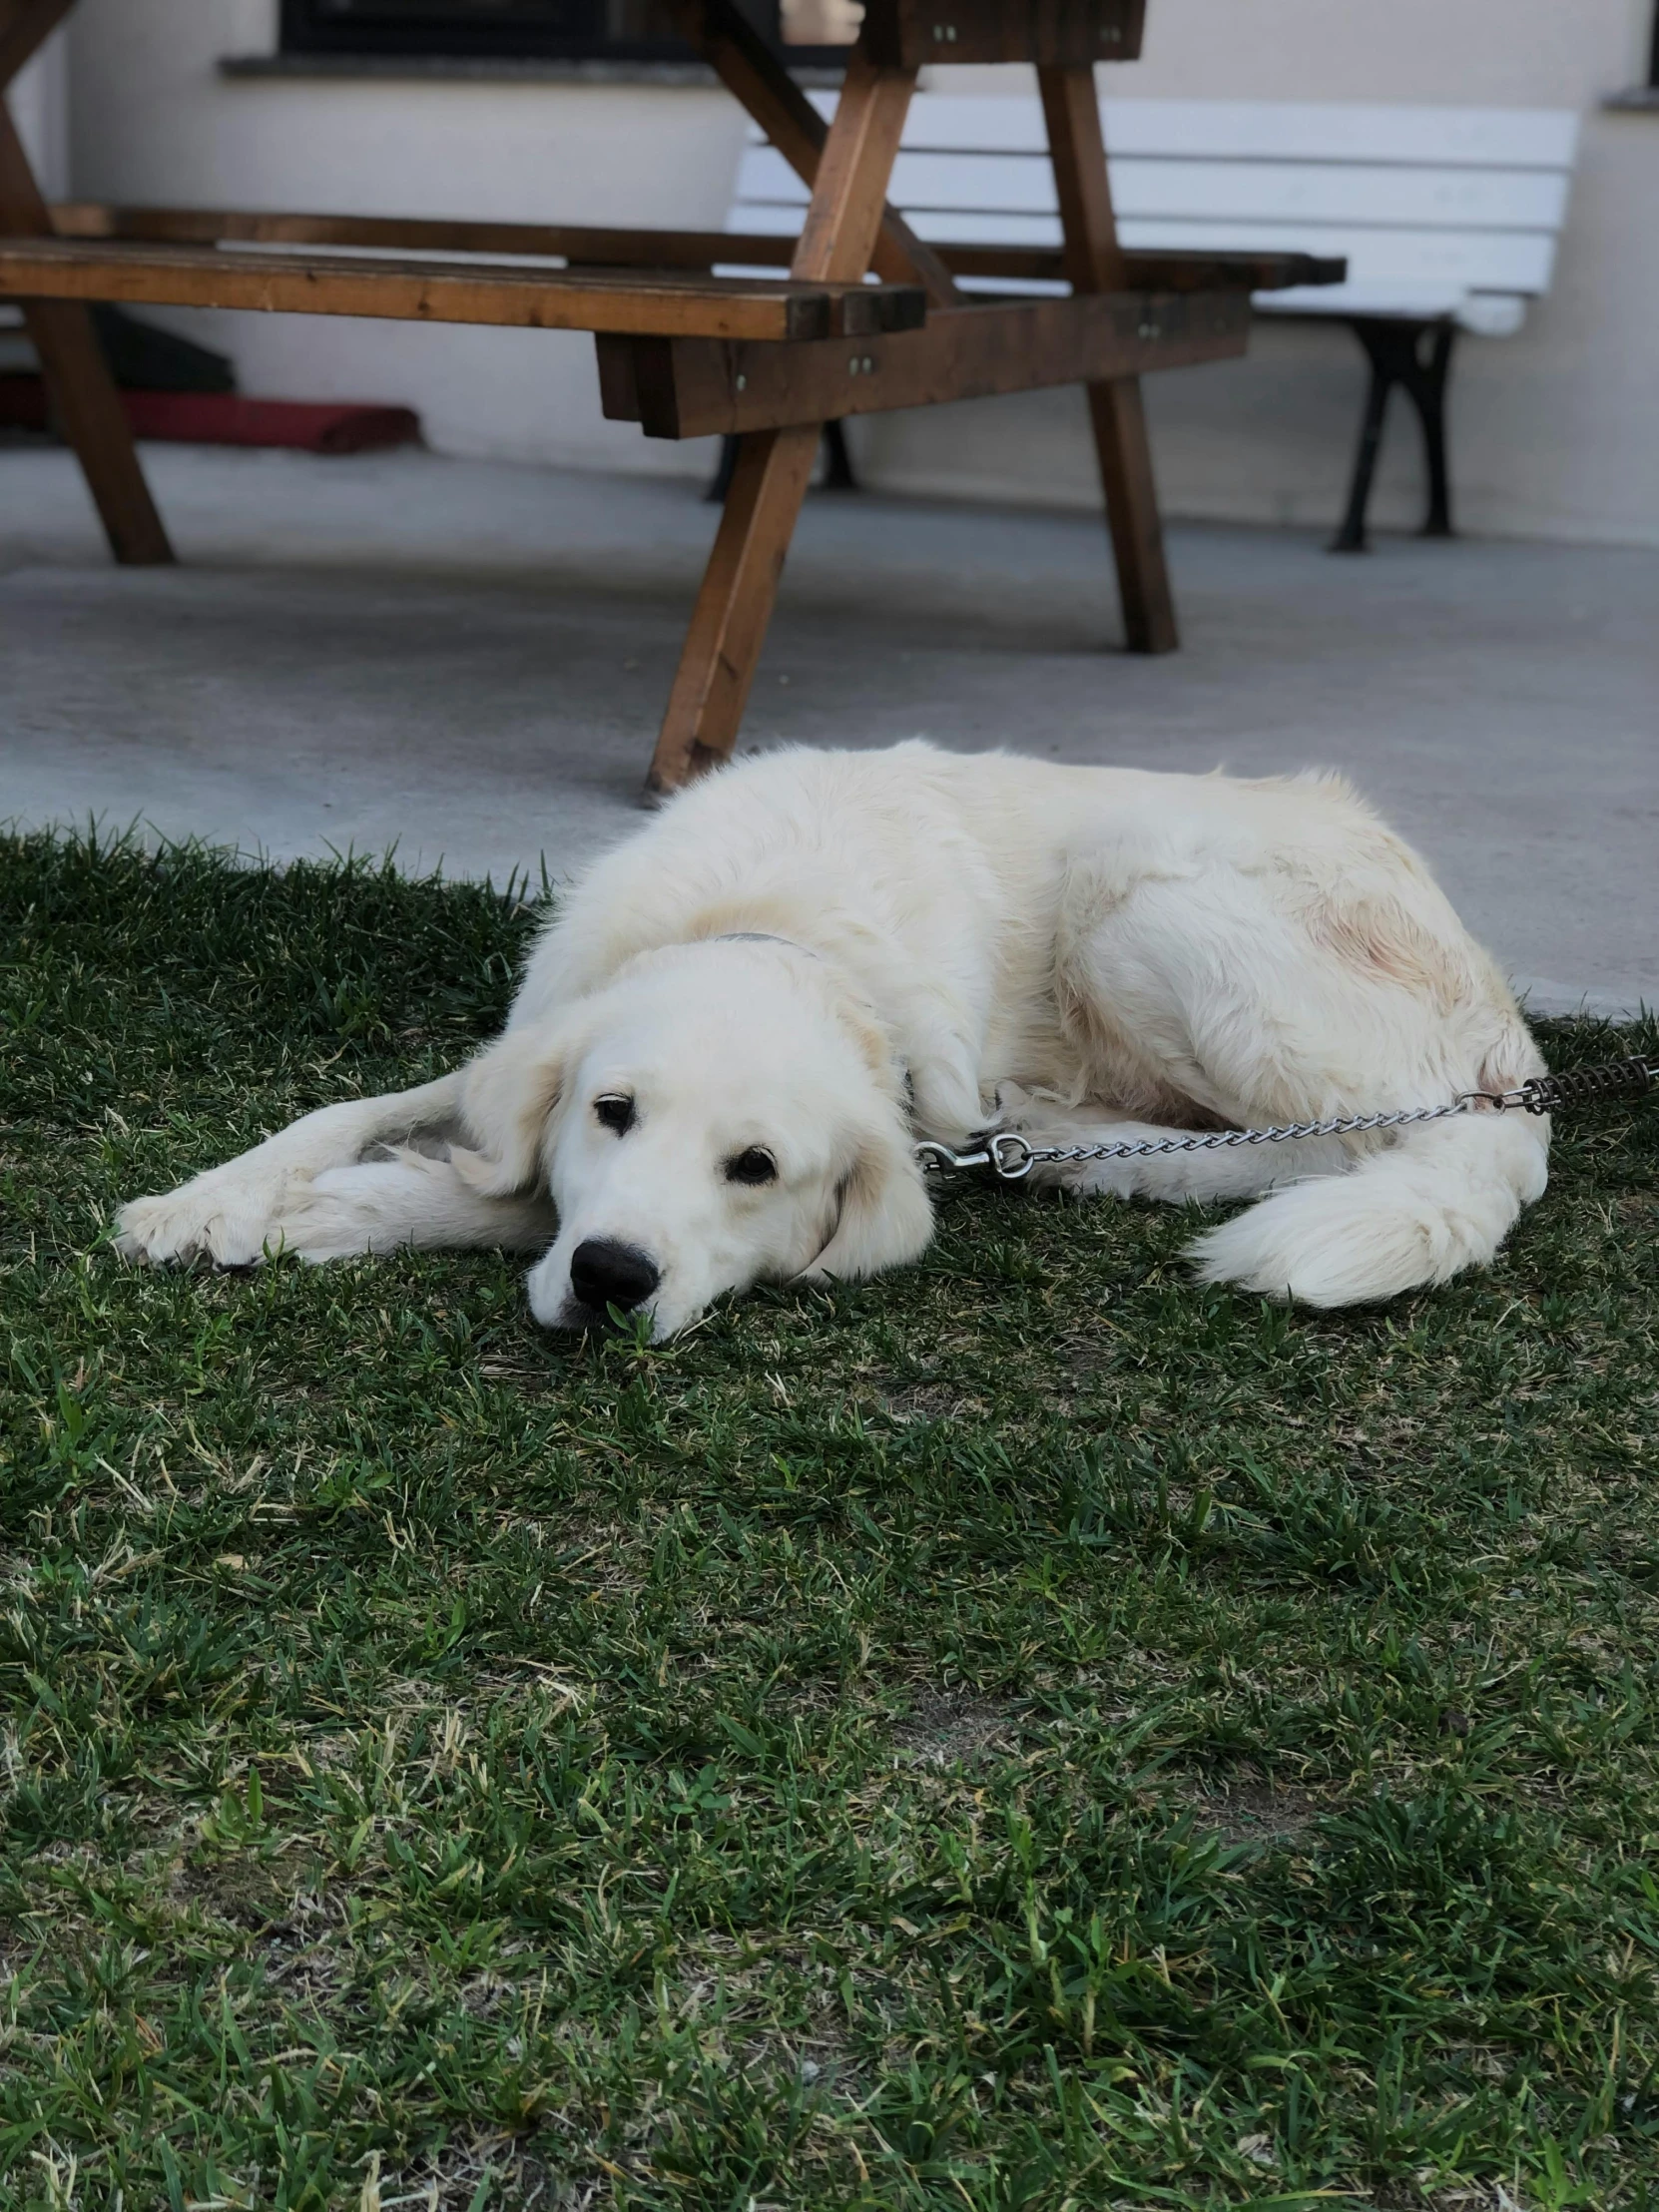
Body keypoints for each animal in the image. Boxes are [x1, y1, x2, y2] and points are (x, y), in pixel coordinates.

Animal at [110, 743, 1557, 1327]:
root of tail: (1515, 1057)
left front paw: (348, 1210)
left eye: (755, 1169)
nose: (612, 1284)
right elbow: (358, 1114)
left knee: (1332, 1151)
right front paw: (210, 1198)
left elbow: (499, 1196)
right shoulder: (529, 1038)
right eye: (611, 1111)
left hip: (1143, 882)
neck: (772, 921)